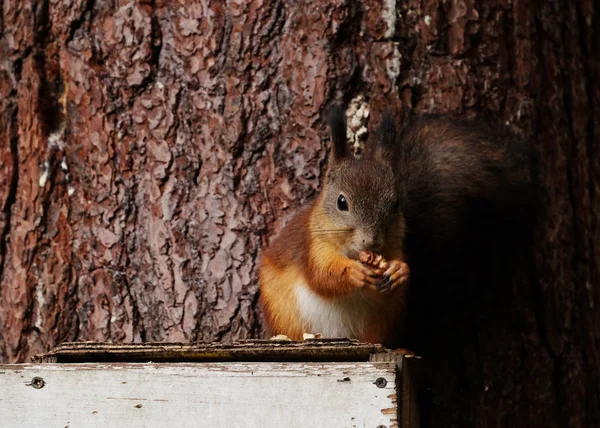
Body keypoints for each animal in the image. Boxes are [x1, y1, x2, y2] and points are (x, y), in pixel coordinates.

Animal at [258, 105, 540, 350]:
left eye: (395, 204)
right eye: (341, 202)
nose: (372, 242)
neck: (354, 252)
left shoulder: (396, 247)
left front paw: (399, 271)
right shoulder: (312, 246)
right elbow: (321, 276)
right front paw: (353, 271)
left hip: (383, 322)